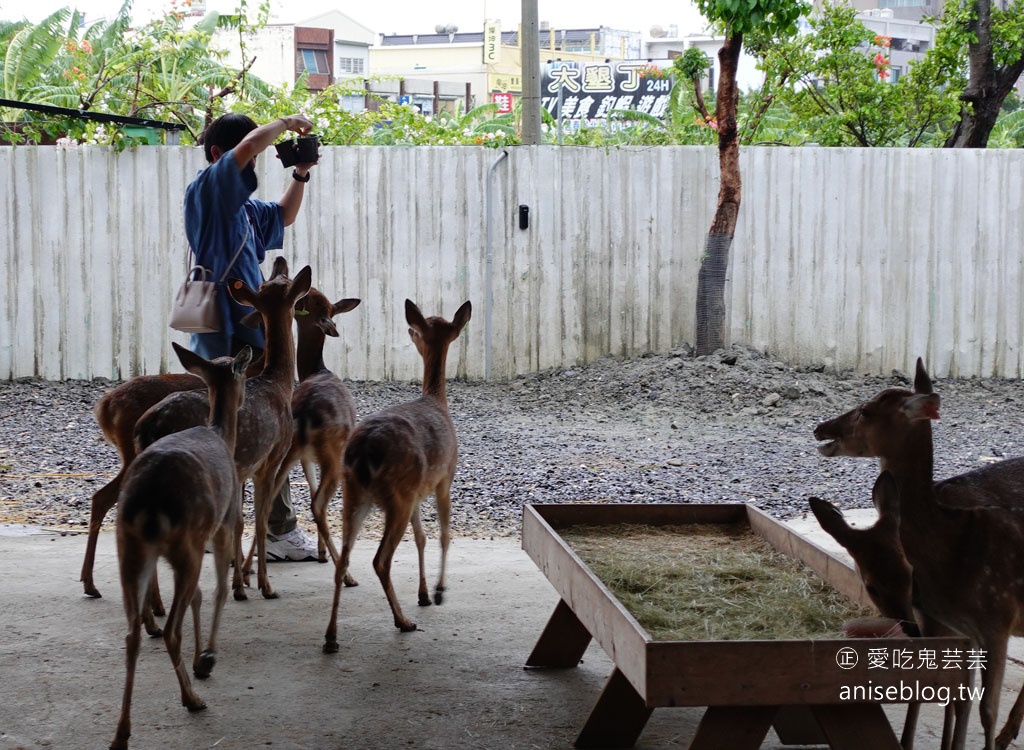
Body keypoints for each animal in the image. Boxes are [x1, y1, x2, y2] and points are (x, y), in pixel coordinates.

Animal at [110, 342, 251, 750]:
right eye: (242, 372)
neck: (220, 434)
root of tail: (149, 504)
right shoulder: (223, 523)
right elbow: (218, 591)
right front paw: (207, 657)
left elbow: (199, 597)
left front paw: (200, 657)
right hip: (185, 543)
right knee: (171, 627)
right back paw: (192, 699)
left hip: (130, 549)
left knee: (132, 634)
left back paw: (122, 732)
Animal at [136, 258, 311, 598]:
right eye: (285, 280)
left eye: (272, 280)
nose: (280, 260)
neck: (278, 383)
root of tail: (148, 426)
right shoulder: (268, 460)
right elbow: (257, 521)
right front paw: (261, 584)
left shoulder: (241, 467)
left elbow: (239, 522)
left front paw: (240, 576)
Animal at [321, 299, 473, 651]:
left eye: (419, 329)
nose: (408, 329)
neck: (437, 401)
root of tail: (363, 455)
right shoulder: (445, 477)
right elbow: (443, 534)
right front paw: (439, 592)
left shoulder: (417, 493)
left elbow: (421, 537)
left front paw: (424, 594)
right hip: (396, 496)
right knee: (380, 560)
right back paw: (403, 621)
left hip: (355, 495)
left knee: (344, 561)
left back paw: (331, 637)